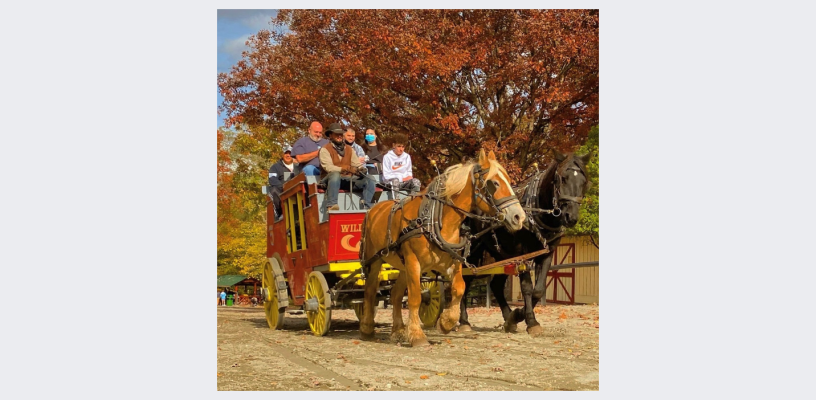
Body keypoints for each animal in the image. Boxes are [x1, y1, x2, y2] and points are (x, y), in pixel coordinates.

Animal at [358, 150, 524, 346]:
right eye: (494, 183)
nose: (519, 216)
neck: (434, 220)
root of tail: (373, 210)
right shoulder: (414, 262)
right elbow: (415, 297)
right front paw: (417, 335)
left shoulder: (451, 262)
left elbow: (459, 287)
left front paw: (446, 322)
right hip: (376, 260)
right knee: (370, 291)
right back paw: (367, 328)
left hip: (403, 266)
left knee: (395, 294)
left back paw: (398, 330)